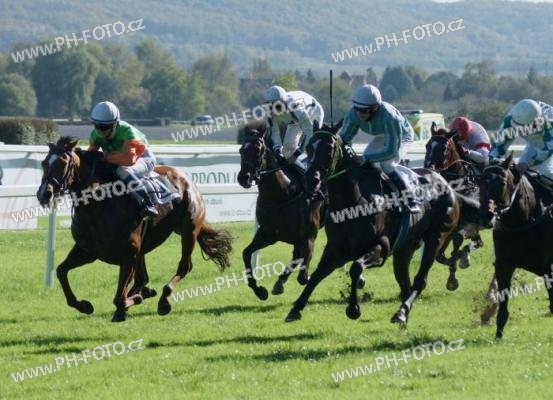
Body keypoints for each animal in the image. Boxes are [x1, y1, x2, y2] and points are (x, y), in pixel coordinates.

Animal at [36, 136, 233, 322]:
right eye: (44, 163)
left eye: (62, 163)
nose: (44, 194)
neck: (98, 207)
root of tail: (186, 179)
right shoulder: (88, 251)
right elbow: (61, 271)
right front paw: (84, 305)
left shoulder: (128, 254)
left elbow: (120, 298)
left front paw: (134, 300)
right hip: (145, 247)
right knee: (143, 277)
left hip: (188, 231)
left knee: (184, 267)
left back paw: (163, 300)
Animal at [237, 120, 326, 300]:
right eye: (241, 149)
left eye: (258, 149)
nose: (243, 178)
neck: (282, 194)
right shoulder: (268, 234)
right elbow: (246, 253)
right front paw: (259, 290)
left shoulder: (309, 236)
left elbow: (303, 276)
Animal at [284, 128, 464, 325]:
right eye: (309, 146)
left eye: (329, 148)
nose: (311, 180)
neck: (352, 202)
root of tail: (443, 181)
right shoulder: (336, 249)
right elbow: (317, 275)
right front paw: (295, 309)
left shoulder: (381, 247)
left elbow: (356, 268)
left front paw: (353, 309)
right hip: (406, 247)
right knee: (404, 280)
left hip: (436, 237)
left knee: (420, 280)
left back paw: (401, 313)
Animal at [479, 153, 553, 338]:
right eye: (480, 180)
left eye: (502, 181)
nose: (485, 215)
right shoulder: (504, 264)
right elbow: (503, 298)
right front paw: (497, 330)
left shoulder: (548, 266)